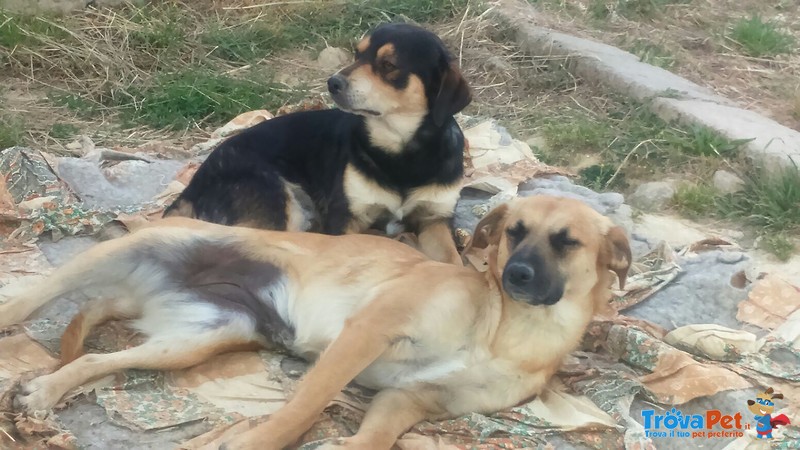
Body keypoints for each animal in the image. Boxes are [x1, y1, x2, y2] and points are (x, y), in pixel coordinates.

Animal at [3, 196, 632, 450]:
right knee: (32, 298)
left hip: (194, 341)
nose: (516, 273)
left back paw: (48, 389)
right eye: (513, 232)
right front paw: (256, 442)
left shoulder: (413, 400)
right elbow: (302, 409)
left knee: (95, 354)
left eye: (567, 242)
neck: (509, 329)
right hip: (133, 250)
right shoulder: (367, 331)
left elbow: (375, 437)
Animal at [165, 22, 472, 264]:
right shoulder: (345, 218)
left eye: (388, 65)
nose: (333, 83)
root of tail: (193, 186)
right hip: (279, 203)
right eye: (357, 54)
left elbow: (454, 262)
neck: (401, 150)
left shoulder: (436, 220)